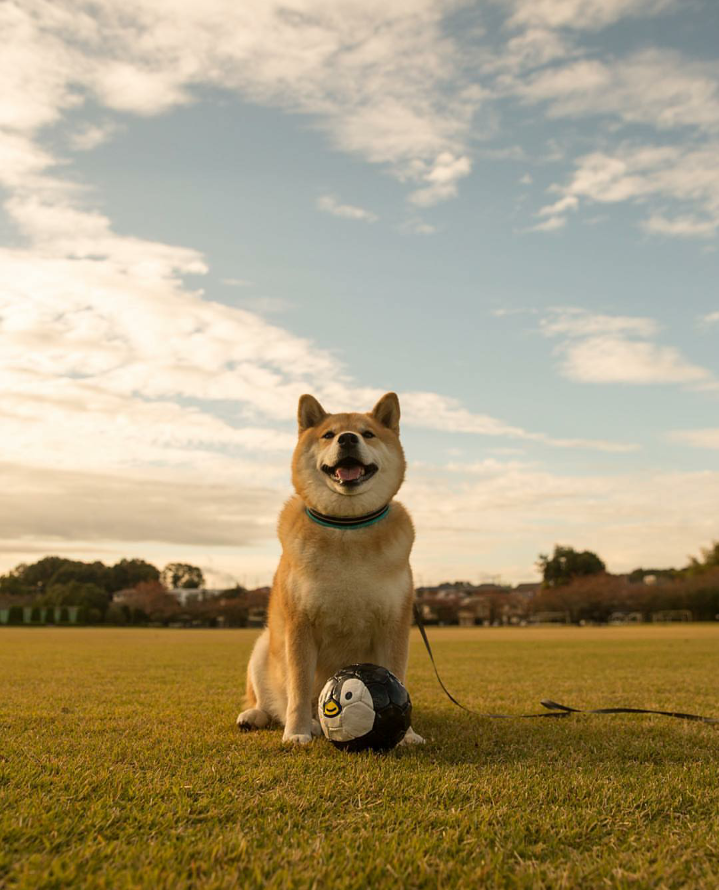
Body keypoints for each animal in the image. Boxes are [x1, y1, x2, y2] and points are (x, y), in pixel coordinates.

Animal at [239, 388, 424, 744]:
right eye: (328, 435)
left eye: (368, 434)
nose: (348, 438)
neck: (347, 526)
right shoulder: (300, 625)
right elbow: (298, 688)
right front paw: (296, 733)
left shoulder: (394, 624)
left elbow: (398, 678)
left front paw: (405, 734)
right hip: (264, 646)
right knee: (267, 701)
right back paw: (266, 717)